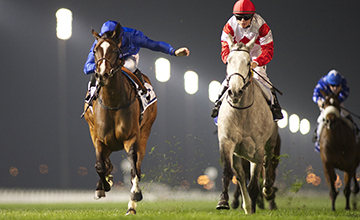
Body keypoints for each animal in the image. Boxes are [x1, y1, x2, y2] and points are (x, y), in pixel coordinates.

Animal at [85, 23, 158, 215]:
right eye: (95, 50)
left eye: (114, 50)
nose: (102, 74)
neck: (113, 102)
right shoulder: (99, 138)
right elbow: (99, 165)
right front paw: (102, 186)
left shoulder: (132, 137)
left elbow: (134, 169)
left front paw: (135, 196)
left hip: (145, 132)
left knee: (136, 166)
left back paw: (131, 206)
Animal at [217, 35, 278, 215]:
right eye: (228, 61)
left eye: (248, 62)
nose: (235, 91)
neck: (242, 113)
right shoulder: (227, 142)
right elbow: (229, 172)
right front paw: (223, 201)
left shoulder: (257, 148)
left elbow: (255, 181)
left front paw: (253, 206)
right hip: (238, 153)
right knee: (241, 175)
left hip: (270, 144)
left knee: (268, 164)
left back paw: (267, 190)